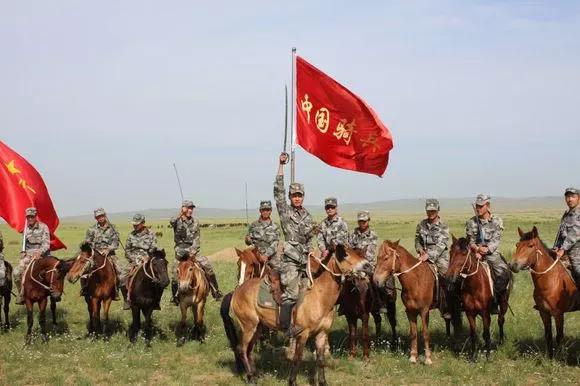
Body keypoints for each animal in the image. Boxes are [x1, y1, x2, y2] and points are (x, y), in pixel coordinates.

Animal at [220, 246, 374, 384]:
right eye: (345, 254)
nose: (367, 266)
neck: (319, 295)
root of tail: (237, 291)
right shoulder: (302, 334)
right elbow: (297, 359)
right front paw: (292, 381)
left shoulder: (321, 334)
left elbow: (320, 360)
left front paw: (322, 382)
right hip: (248, 327)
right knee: (242, 349)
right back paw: (251, 378)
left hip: (257, 327)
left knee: (249, 350)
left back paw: (254, 375)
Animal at [510, 228, 576, 358]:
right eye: (517, 245)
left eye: (530, 245)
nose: (513, 265)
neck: (551, 279)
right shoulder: (544, 313)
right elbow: (548, 336)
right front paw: (550, 357)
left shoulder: (558, 314)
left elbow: (559, 337)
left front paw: (559, 358)